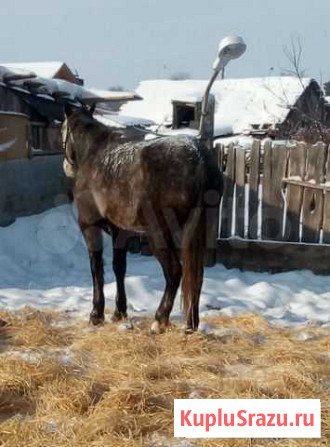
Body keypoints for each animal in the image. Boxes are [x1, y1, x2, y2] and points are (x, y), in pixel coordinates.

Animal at [62, 105, 222, 332]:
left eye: (63, 130)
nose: (66, 167)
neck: (94, 154)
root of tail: (197, 158)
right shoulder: (119, 231)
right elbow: (119, 268)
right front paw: (119, 312)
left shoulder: (88, 226)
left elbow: (96, 269)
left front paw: (96, 314)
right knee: (196, 275)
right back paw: (191, 325)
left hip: (158, 235)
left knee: (175, 271)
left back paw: (159, 320)